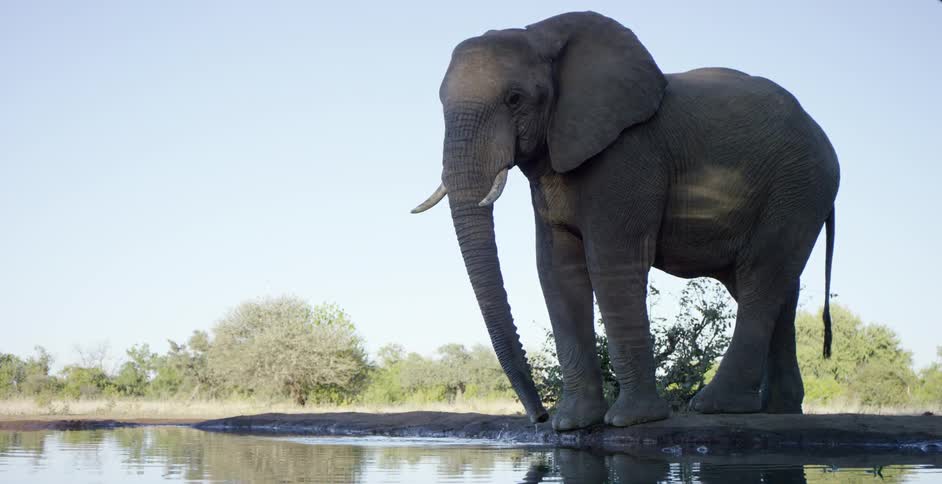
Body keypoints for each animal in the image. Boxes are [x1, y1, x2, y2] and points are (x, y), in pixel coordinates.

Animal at [411, 11, 839, 431]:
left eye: (515, 99)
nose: (539, 416)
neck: (545, 33)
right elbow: (557, 272)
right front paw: (572, 425)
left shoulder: (627, 157)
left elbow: (610, 264)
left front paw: (630, 420)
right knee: (777, 287)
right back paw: (779, 409)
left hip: (798, 187)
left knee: (759, 280)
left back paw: (716, 406)